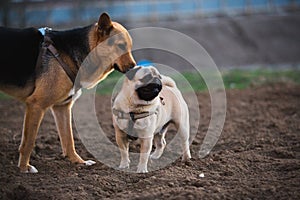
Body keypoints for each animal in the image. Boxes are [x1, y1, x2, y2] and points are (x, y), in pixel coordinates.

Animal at [0, 12, 136, 173]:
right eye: (120, 46)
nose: (134, 68)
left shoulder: (62, 107)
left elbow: (68, 139)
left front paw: (79, 162)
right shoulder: (36, 105)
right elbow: (29, 142)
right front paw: (24, 168)